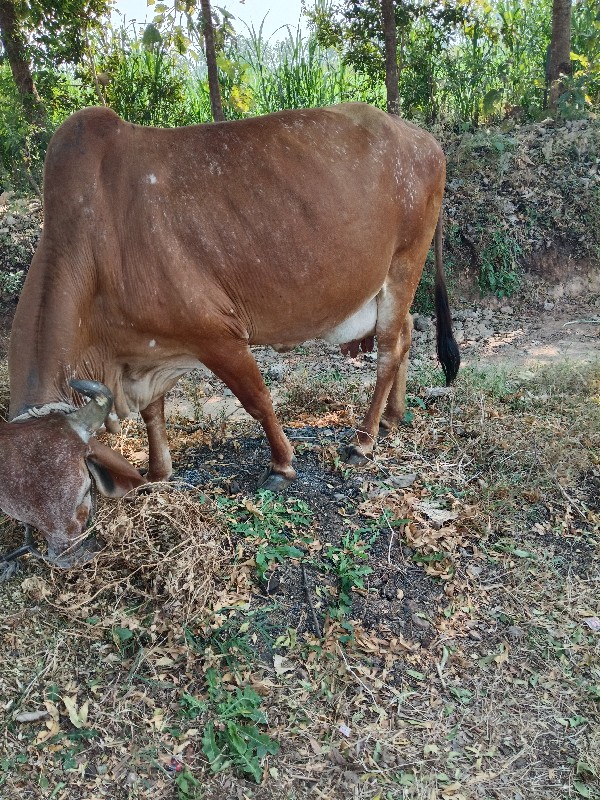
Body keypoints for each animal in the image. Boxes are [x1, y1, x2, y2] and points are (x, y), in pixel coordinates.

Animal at [2, 103, 460, 572]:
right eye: (20, 514)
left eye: (82, 493)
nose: (68, 558)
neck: (97, 246)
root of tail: (423, 139)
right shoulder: (148, 353)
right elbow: (153, 413)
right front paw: (158, 474)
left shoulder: (218, 336)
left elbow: (257, 400)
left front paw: (282, 465)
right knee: (406, 334)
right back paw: (391, 417)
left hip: (404, 265)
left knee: (389, 350)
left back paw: (364, 440)